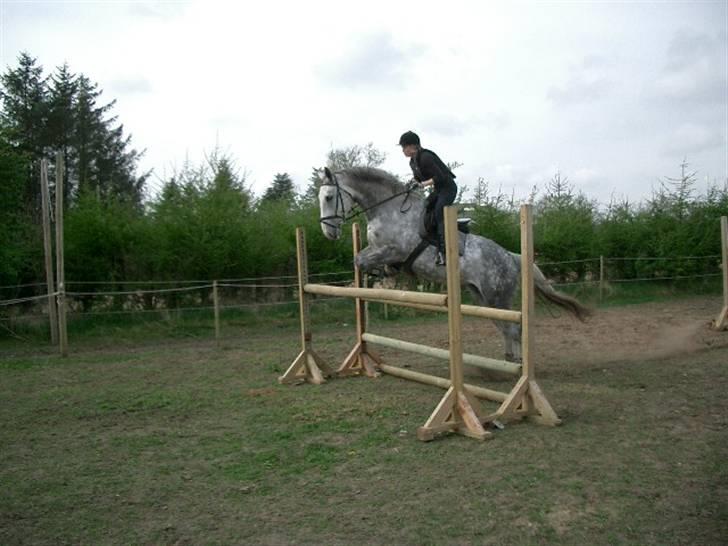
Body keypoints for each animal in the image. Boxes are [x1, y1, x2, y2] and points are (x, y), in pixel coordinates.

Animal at [316, 164, 588, 364]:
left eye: (329, 197)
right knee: (505, 327)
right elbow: (360, 259)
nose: (328, 233)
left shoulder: (394, 250)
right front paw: (381, 277)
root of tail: (511, 256)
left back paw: (517, 366)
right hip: (482, 298)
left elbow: (361, 260)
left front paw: (381, 276)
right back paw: (508, 360)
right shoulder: (379, 249)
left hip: (497, 296)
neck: (388, 209)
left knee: (513, 328)